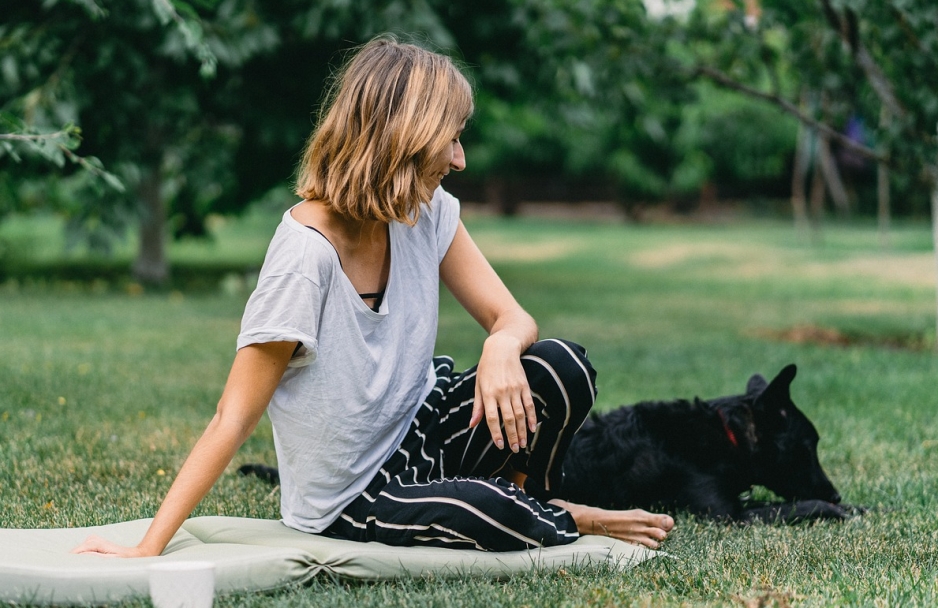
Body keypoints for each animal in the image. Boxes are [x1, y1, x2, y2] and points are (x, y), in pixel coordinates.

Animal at [556, 364, 856, 524]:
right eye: (807, 448)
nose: (836, 495)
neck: (729, 436)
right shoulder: (728, 515)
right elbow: (804, 505)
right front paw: (836, 509)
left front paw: (857, 507)